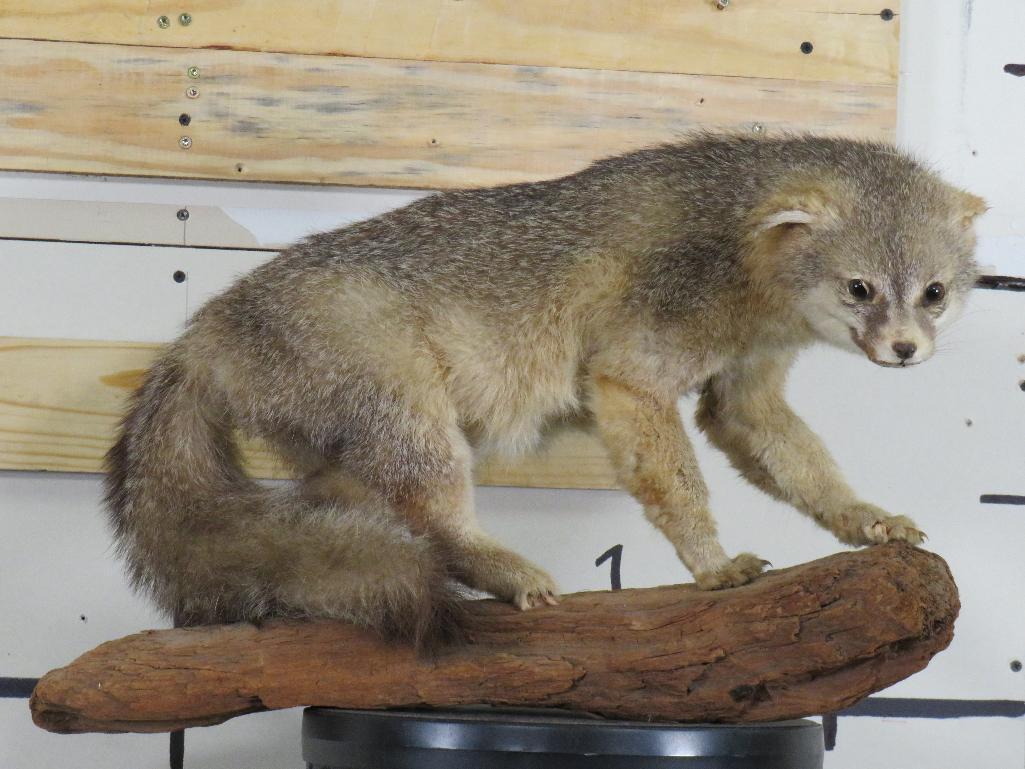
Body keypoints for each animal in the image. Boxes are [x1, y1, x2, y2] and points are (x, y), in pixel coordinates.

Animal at [104, 137, 984, 643]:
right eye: (860, 288)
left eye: (934, 292)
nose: (905, 350)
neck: (738, 257)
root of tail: (204, 329)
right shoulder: (630, 377)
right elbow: (678, 486)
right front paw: (710, 565)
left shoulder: (744, 391)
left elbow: (805, 468)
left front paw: (864, 519)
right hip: (416, 423)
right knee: (434, 522)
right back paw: (505, 571)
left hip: (362, 455)